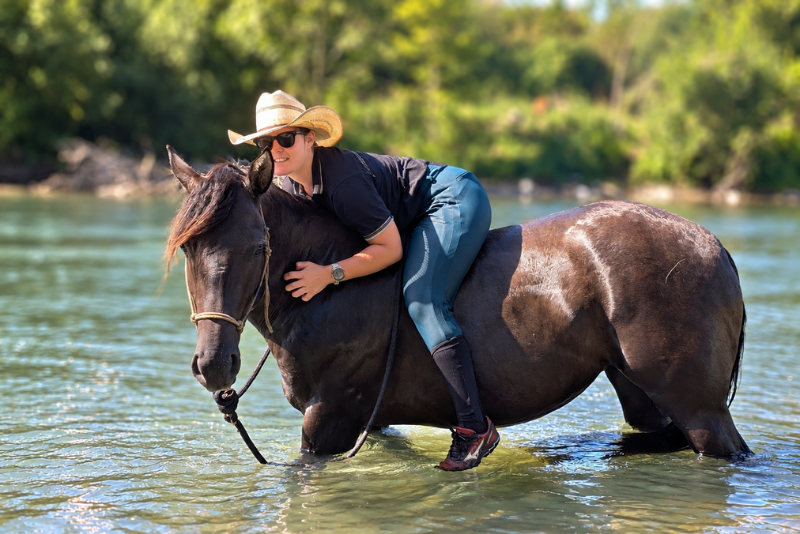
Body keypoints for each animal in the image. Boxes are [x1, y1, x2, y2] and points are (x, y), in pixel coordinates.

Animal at [165, 145, 751, 459]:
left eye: (257, 247)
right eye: (188, 247)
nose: (214, 364)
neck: (329, 291)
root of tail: (714, 245)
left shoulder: (327, 420)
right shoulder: (370, 423)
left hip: (699, 408)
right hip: (641, 394)